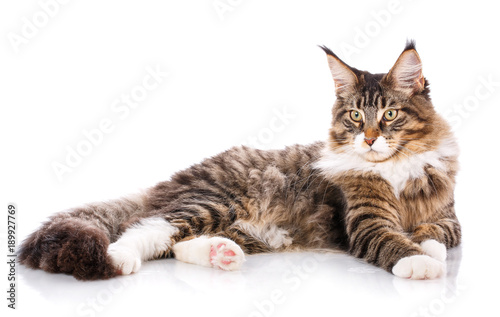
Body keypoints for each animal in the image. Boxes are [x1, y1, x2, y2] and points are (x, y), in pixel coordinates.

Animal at [18, 39, 460, 278]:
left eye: (389, 115)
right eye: (354, 116)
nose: (368, 140)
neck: (394, 168)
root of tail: (171, 181)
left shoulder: (449, 218)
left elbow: (436, 234)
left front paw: (427, 248)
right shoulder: (364, 221)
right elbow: (391, 239)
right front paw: (418, 261)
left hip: (250, 228)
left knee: (177, 243)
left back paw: (221, 254)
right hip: (217, 201)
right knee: (147, 227)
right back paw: (121, 257)